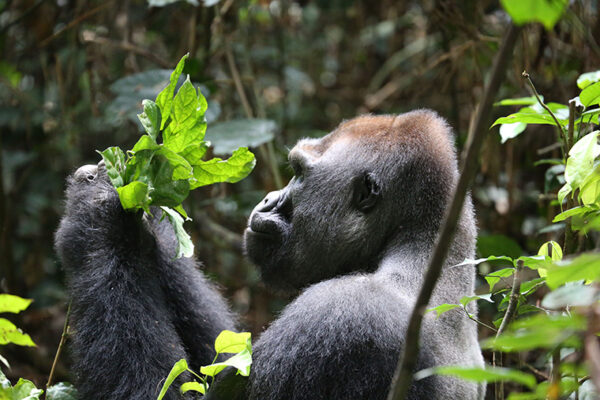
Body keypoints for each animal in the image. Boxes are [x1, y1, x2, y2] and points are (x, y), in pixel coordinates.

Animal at [52, 110, 482, 400]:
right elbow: (220, 352)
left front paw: (99, 216)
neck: (418, 252)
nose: (268, 200)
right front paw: (145, 226)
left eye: (298, 173)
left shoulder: (344, 316)